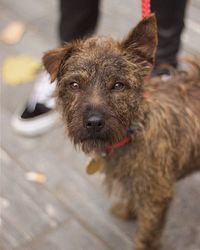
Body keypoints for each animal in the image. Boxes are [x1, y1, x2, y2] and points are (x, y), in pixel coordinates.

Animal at [42, 15, 200, 250]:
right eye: (74, 84)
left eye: (118, 85)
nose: (93, 122)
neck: (134, 131)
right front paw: (127, 211)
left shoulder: (156, 196)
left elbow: (147, 233)